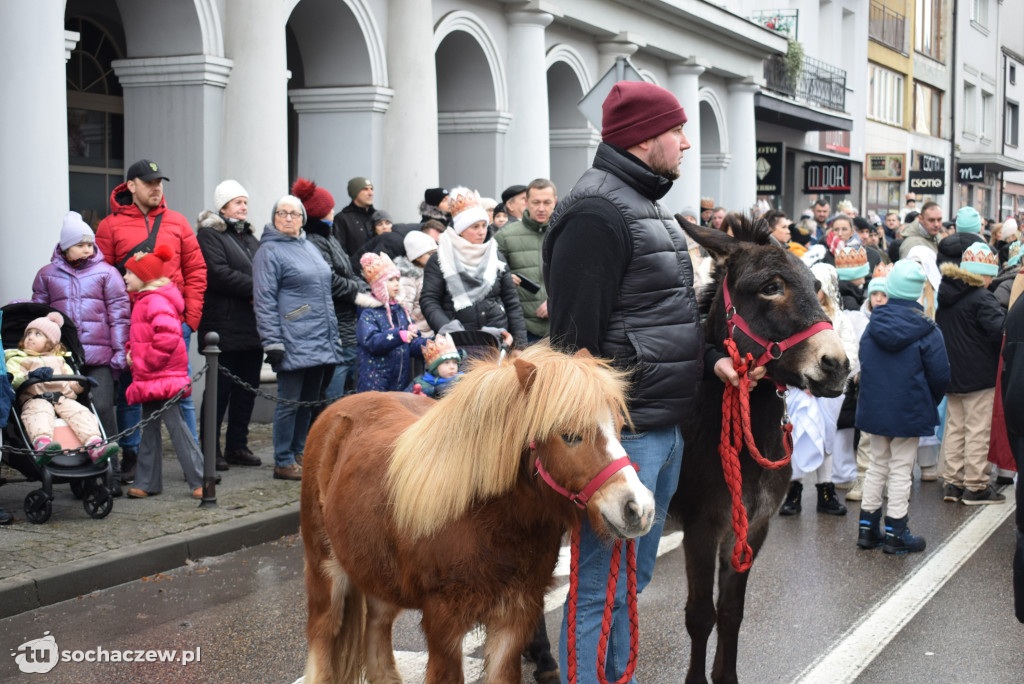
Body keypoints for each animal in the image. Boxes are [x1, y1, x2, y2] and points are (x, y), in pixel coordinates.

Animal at [301, 344, 655, 684]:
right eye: (569, 435)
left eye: (619, 426)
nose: (639, 509)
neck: (486, 520)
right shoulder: (443, 622)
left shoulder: (515, 614)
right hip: (326, 573)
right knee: (324, 634)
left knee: (377, 629)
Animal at [667, 220, 851, 684]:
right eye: (771, 287)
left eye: (815, 285)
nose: (838, 365)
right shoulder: (700, 527)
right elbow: (701, 615)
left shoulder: (751, 527)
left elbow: (732, 613)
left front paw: (726, 676)